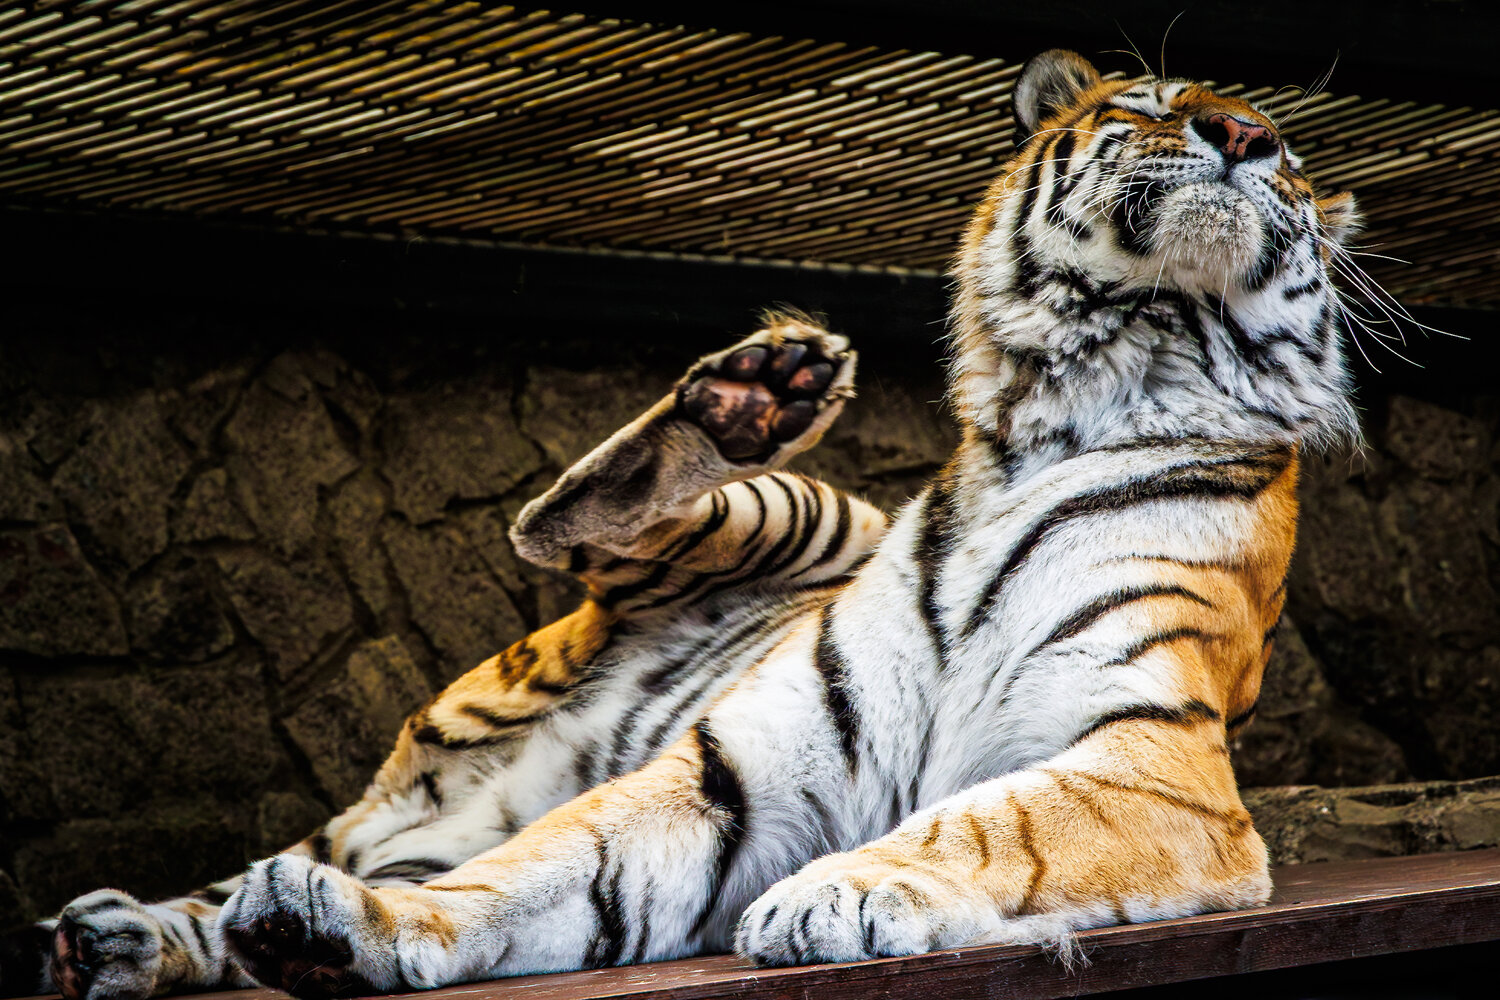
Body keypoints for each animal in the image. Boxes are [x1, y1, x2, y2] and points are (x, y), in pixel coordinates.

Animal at [0, 48, 1364, 1000]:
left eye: (1292, 158)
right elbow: (543, 862)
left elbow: (999, 818)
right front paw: (353, 924)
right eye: (1149, 100)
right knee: (565, 534)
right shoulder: (734, 769)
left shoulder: (1154, 760)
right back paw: (761, 387)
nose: (1248, 134)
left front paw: (847, 889)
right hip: (813, 511)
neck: (1091, 385)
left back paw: (118, 939)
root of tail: (392, 799)